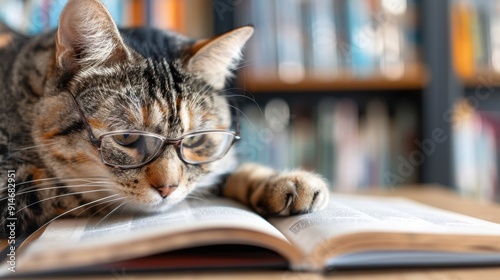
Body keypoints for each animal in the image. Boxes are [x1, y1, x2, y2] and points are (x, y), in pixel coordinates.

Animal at [0, 0, 328, 238]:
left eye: (194, 140)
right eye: (126, 137)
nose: (167, 189)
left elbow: (217, 171)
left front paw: (281, 181)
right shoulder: (15, 188)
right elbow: (78, 194)